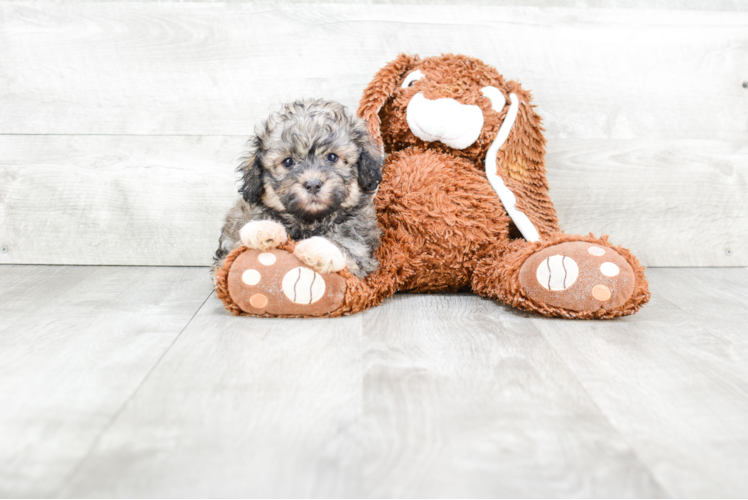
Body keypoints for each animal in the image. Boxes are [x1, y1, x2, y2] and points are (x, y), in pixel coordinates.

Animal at [213, 99, 382, 280]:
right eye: (288, 162)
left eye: (332, 157)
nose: (313, 184)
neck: (309, 221)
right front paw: (262, 229)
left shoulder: (360, 249)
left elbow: (345, 248)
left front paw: (317, 248)